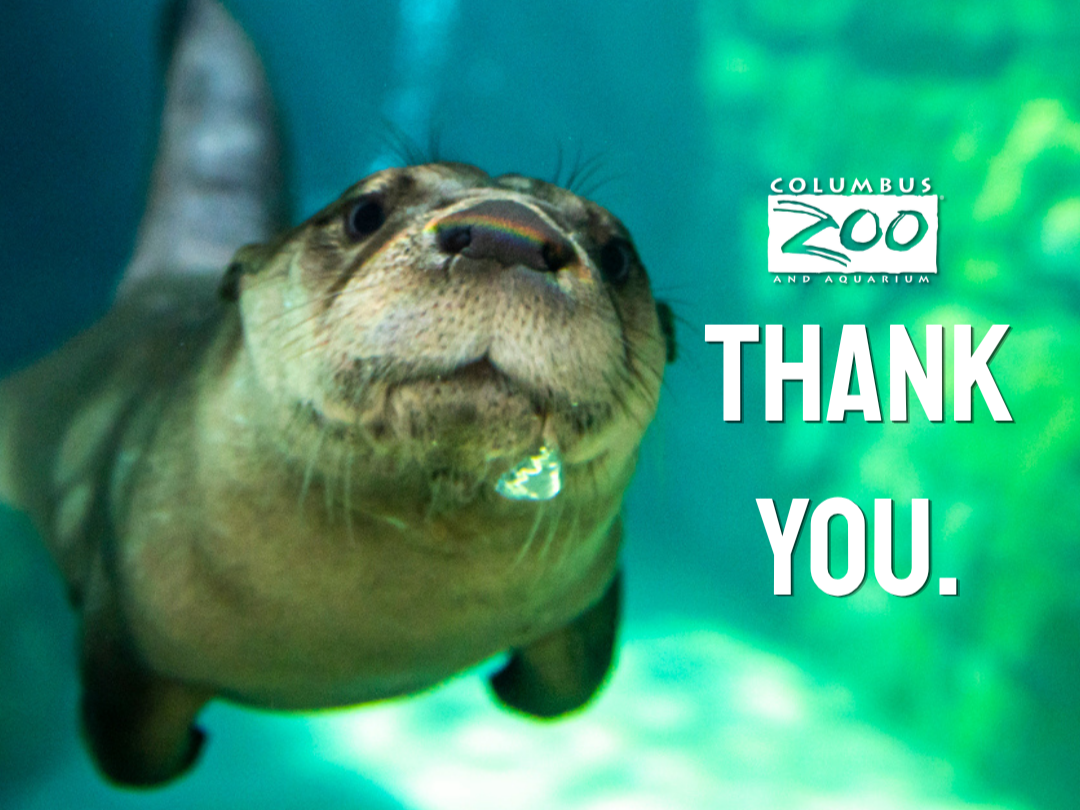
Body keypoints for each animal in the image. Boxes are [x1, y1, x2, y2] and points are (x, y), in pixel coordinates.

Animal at [0, 0, 672, 787]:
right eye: (365, 213)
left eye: (618, 254)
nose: (504, 233)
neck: (366, 636)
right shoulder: (125, 614)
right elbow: (133, 752)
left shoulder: (591, 582)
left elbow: (567, 693)